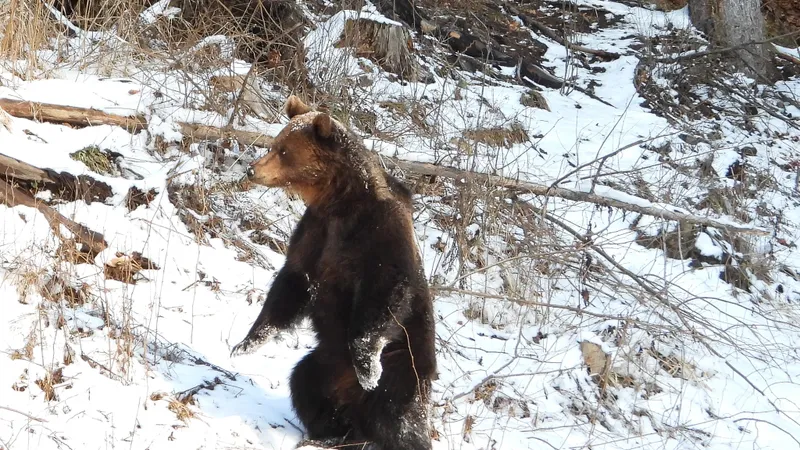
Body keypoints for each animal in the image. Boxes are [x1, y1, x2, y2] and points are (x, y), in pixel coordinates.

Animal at [228, 96, 440, 450]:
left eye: (283, 150)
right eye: (276, 144)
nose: (252, 169)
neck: (338, 202)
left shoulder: (380, 235)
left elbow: (385, 290)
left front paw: (367, 370)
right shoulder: (315, 233)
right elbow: (291, 283)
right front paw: (246, 343)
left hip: (404, 363)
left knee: (396, 415)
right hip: (324, 363)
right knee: (304, 384)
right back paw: (329, 433)